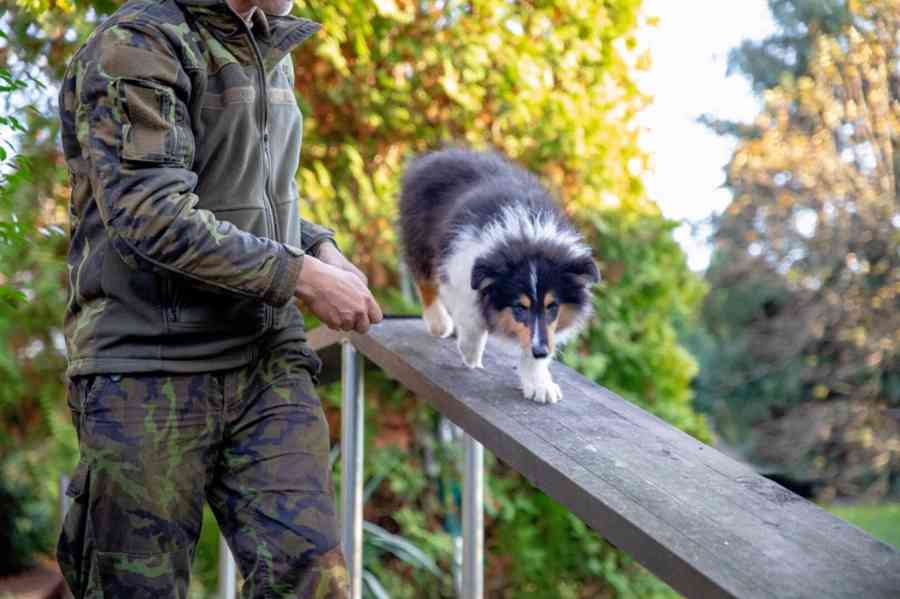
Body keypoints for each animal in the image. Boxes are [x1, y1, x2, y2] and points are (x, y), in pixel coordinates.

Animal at [400, 148, 596, 406]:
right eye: (519, 307)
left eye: (552, 306)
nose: (541, 351)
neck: (525, 236)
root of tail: (435, 155)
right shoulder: (459, 265)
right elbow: (470, 312)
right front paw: (470, 352)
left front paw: (539, 384)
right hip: (419, 236)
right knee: (424, 280)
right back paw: (439, 323)